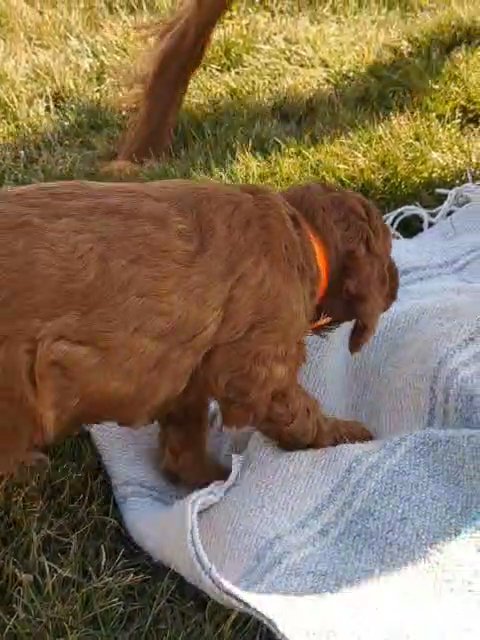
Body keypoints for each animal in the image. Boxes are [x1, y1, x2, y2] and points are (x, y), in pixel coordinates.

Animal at [0, 179, 398, 484]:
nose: (397, 283)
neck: (302, 233)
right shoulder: (255, 368)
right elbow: (300, 413)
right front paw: (345, 434)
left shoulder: (188, 376)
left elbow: (185, 436)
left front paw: (208, 479)